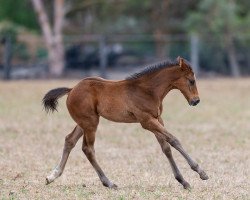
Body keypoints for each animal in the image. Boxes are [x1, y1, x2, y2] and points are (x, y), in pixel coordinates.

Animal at [43, 56, 209, 189]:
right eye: (191, 80)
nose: (196, 101)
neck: (148, 90)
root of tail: (71, 89)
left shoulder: (157, 119)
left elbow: (166, 147)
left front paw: (183, 181)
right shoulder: (146, 121)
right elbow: (174, 140)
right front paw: (201, 172)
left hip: (84, 122)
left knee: (69, 140)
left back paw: (52, 176)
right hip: (90, 123)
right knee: (88, 149)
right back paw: (108, 182)